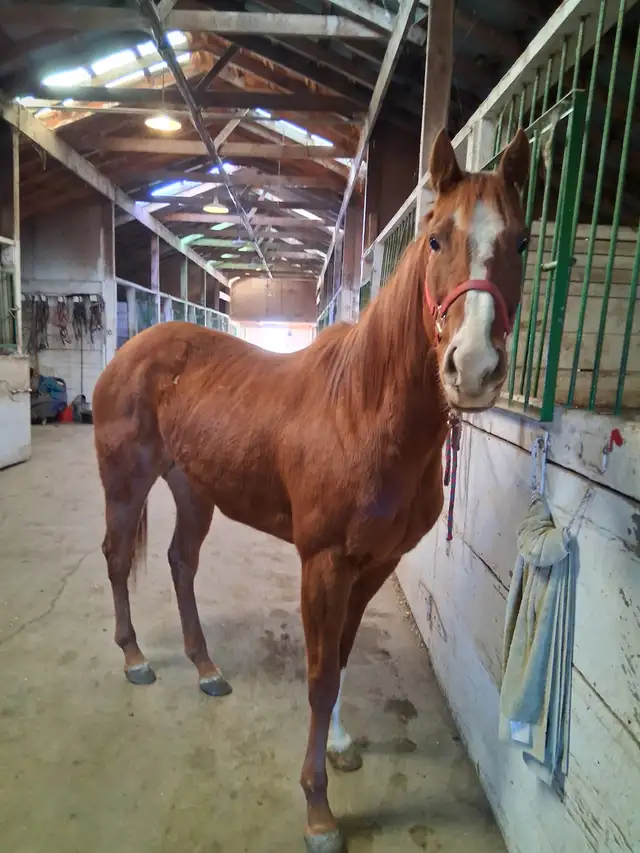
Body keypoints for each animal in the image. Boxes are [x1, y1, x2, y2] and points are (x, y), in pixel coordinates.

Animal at [93, 128, 530, 853]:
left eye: (521, 242)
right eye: (436, 238)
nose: (472, 367)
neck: (364, 410)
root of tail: (132, 349)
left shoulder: (373, 564)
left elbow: (344, 657)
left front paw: (342, 744)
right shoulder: (323, 562)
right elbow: (320, 676)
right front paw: (318, 808)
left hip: (194, 490)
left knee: (179, 562)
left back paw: (207, 669)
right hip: (126, 481)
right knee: (119, 556)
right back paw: (134, 659)